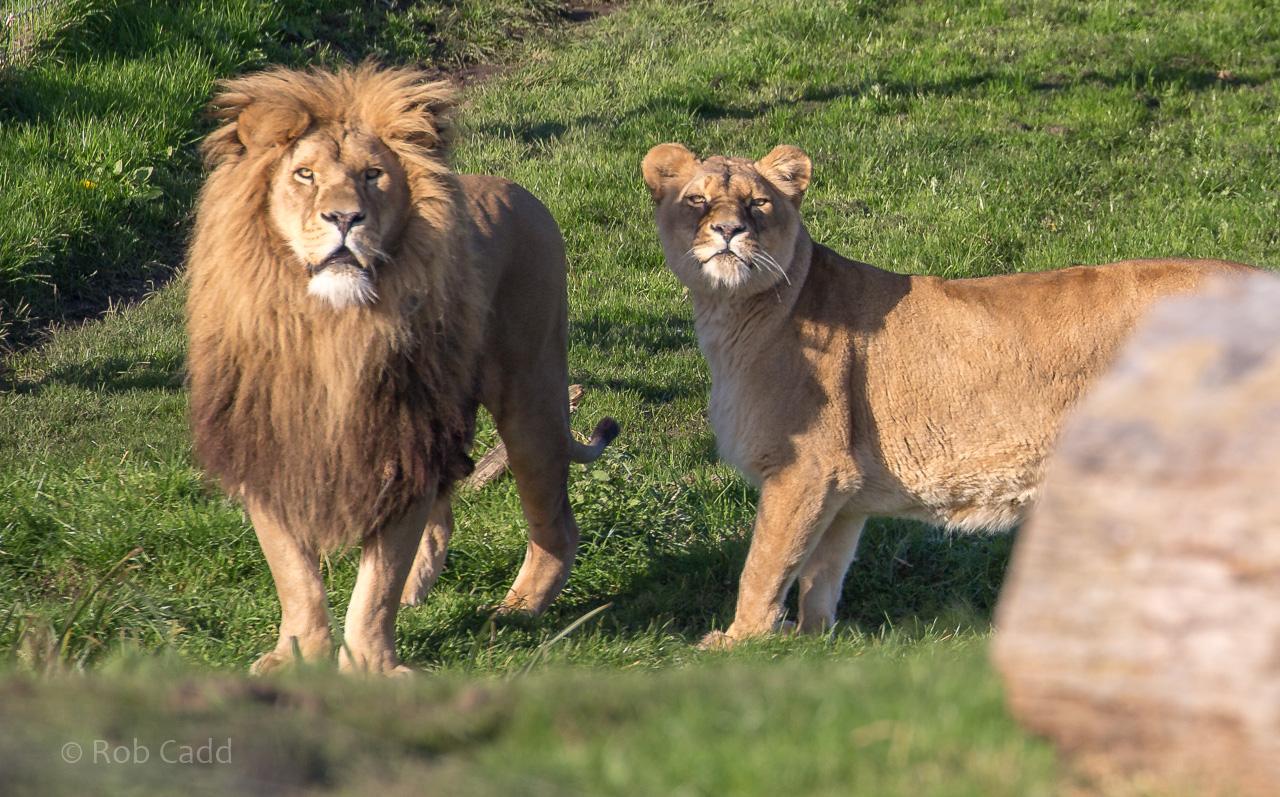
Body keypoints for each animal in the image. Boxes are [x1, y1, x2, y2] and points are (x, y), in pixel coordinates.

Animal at [186, 65, 618, 674]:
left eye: (373, 176)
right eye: (304, 174)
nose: (345, 217)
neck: (332, 330)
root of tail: (516, 189)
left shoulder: (402, 438)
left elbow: (377, 583)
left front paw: (370, 668)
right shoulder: (270, 446)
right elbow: (294, 574)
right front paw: (298, 654)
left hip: (529, 393)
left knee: (554, 520)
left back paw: (518, 611)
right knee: (446, 511)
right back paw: (424, 590)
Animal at [641, 142, 1253, 649]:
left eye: (758, 204)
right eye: (697, 200)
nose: (727, 231)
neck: (730, 313)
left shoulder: (806, 468)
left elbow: (765, 562)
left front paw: (737, 640)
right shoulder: (841, 484)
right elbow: (821, 571)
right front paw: (812, 643)